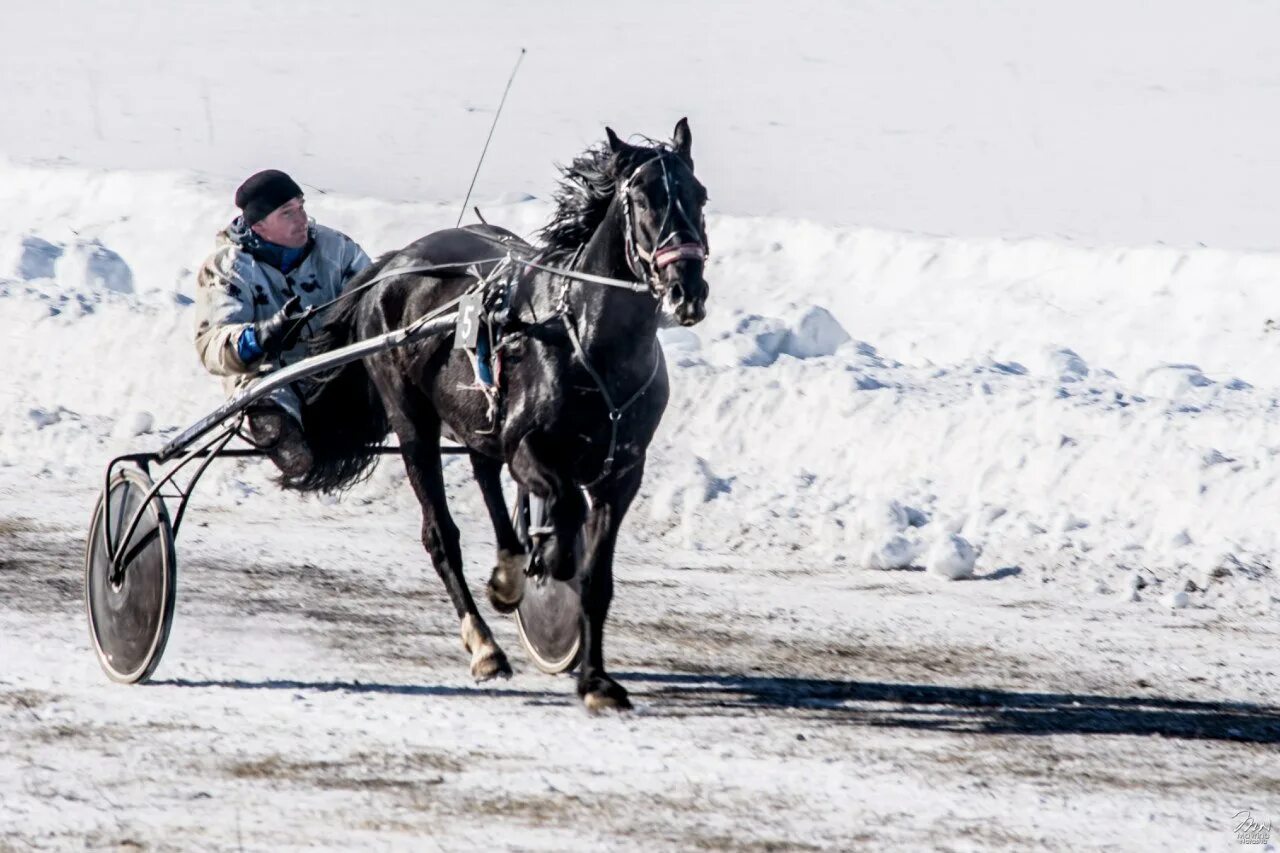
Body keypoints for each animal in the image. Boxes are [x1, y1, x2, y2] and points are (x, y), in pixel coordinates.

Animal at [291, 117, 711, 701]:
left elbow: (596, 578)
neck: (584, 339)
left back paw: (510, 574)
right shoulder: (529, 446)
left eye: (699, 194)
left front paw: (596, 679)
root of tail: (392, 264)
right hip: (410, 418)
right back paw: (485, 644)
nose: (686, 289)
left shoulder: (623, 470)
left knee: (484, 473)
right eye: (644, 198)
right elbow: (564, 514)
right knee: (441, 534)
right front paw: (550, 558)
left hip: (475, 417)